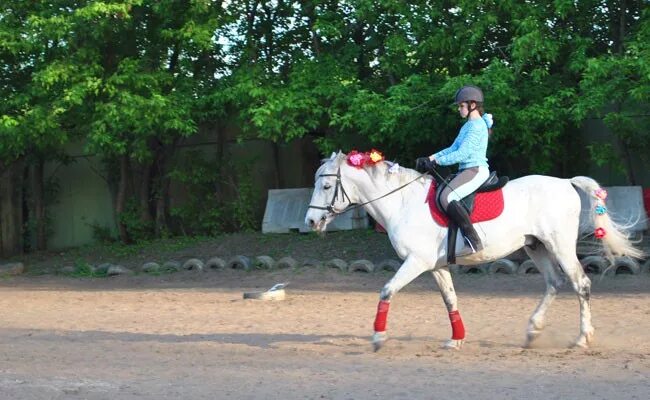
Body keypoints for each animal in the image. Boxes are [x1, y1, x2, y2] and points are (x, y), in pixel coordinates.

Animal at [304, 152, 636, 352]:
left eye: (325, 187)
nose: (310, 221)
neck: (402, 203)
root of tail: (567, 183)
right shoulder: (436, 266)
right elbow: (450, 299)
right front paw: (456, 339)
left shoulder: (416, 261)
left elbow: (387, 290)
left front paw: (377, 338)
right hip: (536, 246)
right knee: (554, 283)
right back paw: (532, 332)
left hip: (560, 245)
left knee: (581, 284)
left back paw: (581, 339)